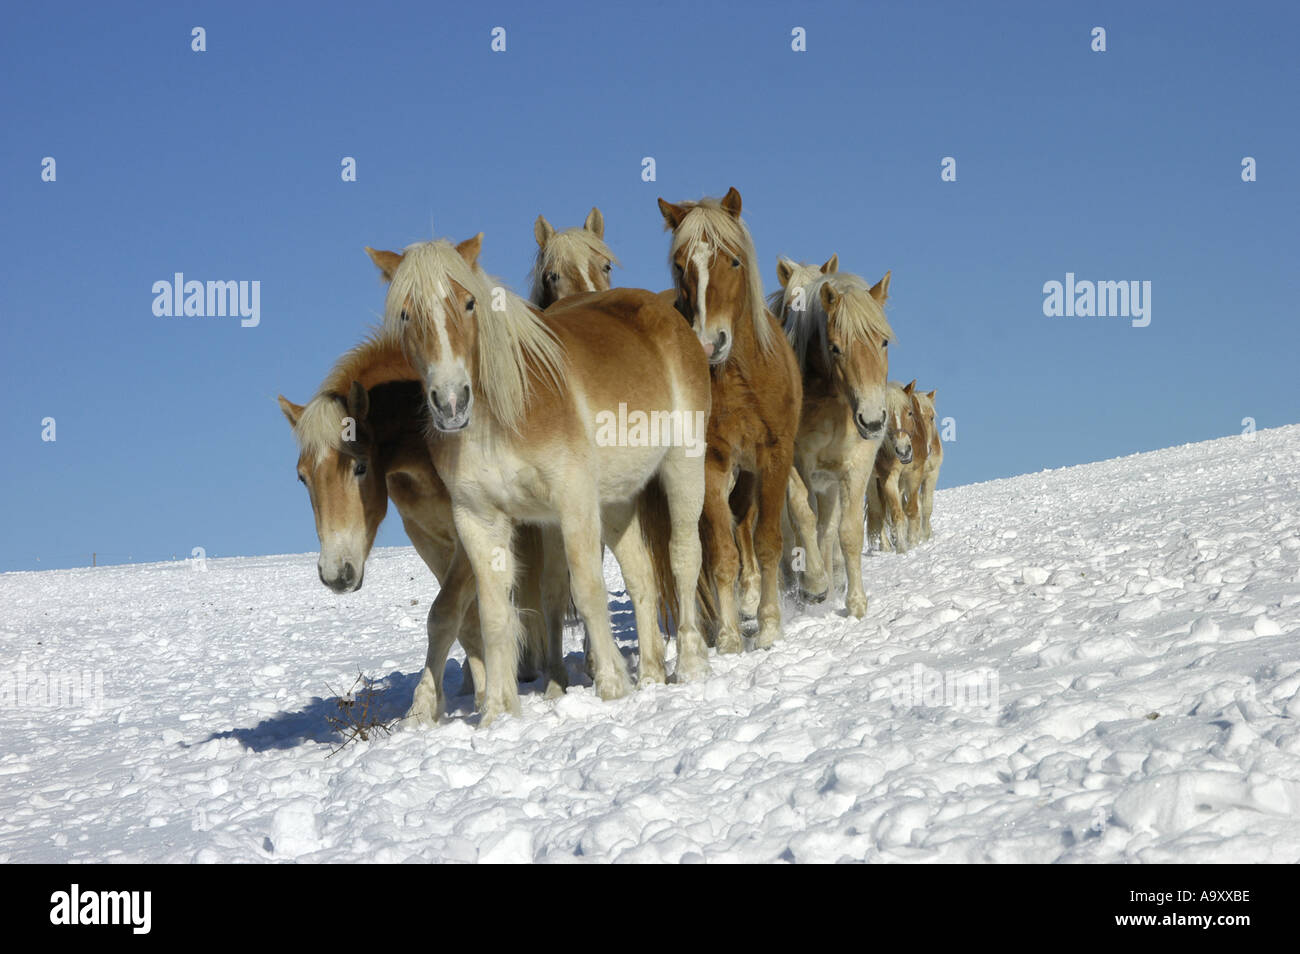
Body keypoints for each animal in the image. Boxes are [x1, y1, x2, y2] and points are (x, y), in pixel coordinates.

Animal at [278, 334, 568, 711]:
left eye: (360, 467)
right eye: (302, 478)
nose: (335, 574)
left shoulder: (470, 532)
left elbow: (443, 614)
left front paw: (424, 707)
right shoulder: (428, 538)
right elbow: (466, 621)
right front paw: (482, 693)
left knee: (558, 593)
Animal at [366, 235, 711, 726]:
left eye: (469, 303)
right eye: (405, 314)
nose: (451, 403)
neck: (506, 413)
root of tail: (664, 314)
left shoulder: (572, 502)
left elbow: (586, 591)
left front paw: (609, 685)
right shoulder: (479, 520)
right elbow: (493, 615)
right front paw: (496, 712)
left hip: (683, 464)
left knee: (682, 557)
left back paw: (691, 664)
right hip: (617, 502)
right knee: (642, 576)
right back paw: (649, 676)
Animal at [656, 187, 802, 652]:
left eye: (734, 261)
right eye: (680, 264)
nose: (708, 344)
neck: (736, 377)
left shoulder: (774, 455)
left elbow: (769, 541)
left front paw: (770, 624)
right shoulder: (710, 464)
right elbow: (722, 553)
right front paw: (727, 635)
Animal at [776, 263, 894, 617]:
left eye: (884, 342)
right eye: (835, 347)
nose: (873, 420)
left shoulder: (856, 465)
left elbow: (847, 532)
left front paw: (855, 602)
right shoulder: (795, 465)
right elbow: (802, 516)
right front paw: (814, 584)